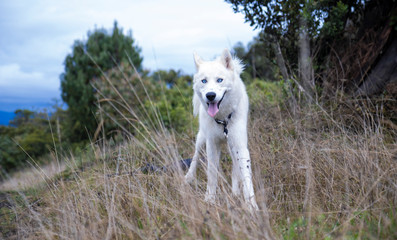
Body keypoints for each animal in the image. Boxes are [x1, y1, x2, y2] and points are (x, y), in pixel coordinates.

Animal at [185, 47, 258, 209]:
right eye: (204, 81)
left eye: (219, 80)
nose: (210, 95)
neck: (223, 120)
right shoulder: (212, 145)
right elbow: (212, 175)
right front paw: (209, 200)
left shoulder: (240, 146)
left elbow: (246, 177)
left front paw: (251, 206)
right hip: (201, 140)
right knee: (195, 157)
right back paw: (188, 178)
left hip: (232, 147)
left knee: (235, 169)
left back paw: (236, 193)